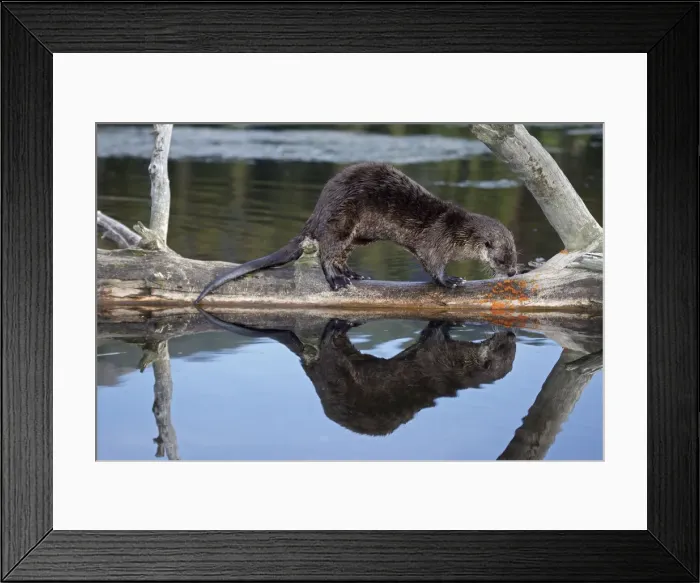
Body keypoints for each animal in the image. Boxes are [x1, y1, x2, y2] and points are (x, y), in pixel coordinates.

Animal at [194, 162, 518, 303]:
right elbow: (432, 266)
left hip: (355, 235)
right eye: (503, 258)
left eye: (516, 255)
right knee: (327, 252)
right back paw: (337, 280)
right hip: (341, 220)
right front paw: (451, 280)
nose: (514, 272)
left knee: (340, 254)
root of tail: (319, 209)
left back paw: (353, 274)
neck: (456, 230)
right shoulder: (436, 242)